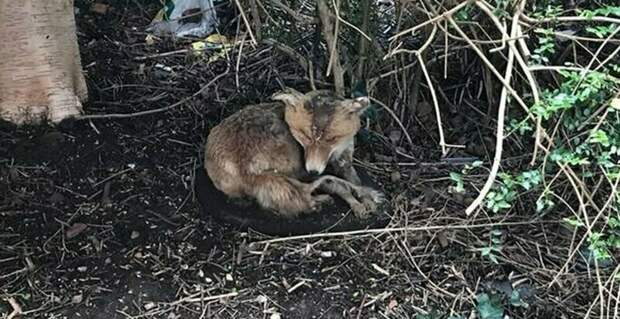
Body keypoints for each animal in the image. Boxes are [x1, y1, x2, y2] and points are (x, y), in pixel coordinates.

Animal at [206, 87, 386, 219]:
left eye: (331, 139)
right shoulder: (306, 169)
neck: (335, 153)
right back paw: (318, 201)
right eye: (305, 136)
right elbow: (342, 187)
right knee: (299, 200)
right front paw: (356, 204)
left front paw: (367, 201)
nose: (313, 170)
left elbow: (356, 182)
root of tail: (241, 164)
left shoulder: (344, 162)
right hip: (289, 171)